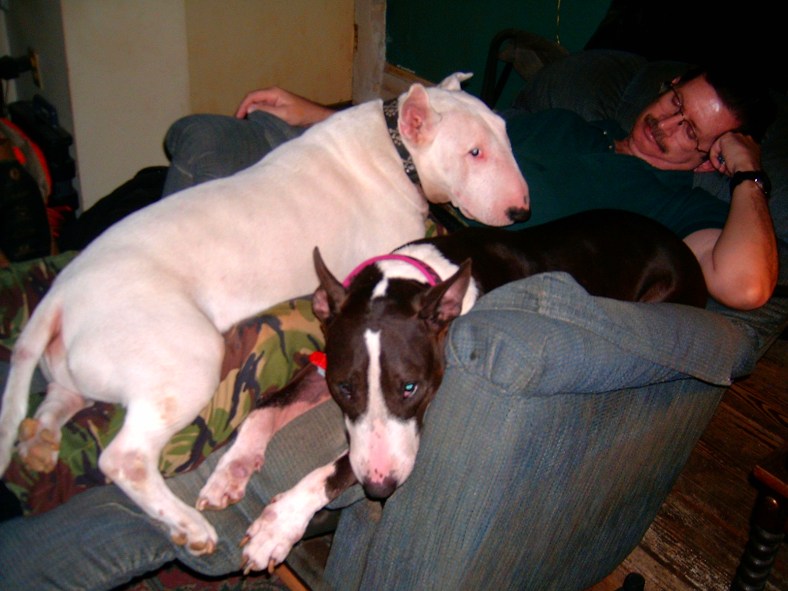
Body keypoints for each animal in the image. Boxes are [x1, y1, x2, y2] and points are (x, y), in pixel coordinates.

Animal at [0, 72, 529, 555]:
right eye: (474, 152)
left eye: (506, 133)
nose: (522, 212)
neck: (395, 149)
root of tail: (59, 296)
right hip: (187, 358)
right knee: (123, 458)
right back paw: (190, 526)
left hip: (79, 364)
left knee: (61, 400)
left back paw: (39, 444)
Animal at [195, 208, 708, 572]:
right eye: (344, 388)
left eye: (410, 387)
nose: (381, 488)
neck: (419, 277)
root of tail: (683, 248)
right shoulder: (329, 365)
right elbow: (266, 406)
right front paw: (229, 471)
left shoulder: (431, 405)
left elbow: (339, 466)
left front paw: (278, 525)